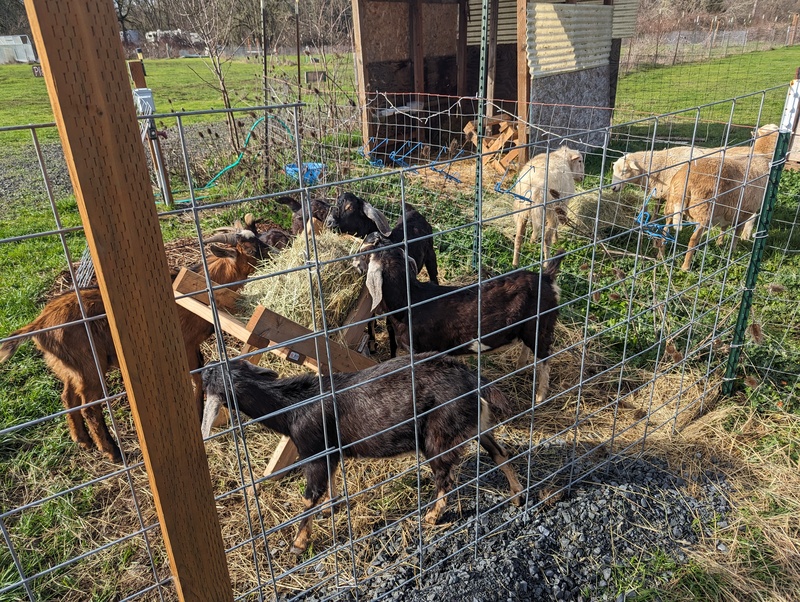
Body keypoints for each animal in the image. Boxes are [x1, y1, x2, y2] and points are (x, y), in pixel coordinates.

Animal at [0, 230, 262, 460]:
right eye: (250, 250)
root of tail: (40, 323)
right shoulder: (185, 343)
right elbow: (195, 377)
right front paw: (198, 416)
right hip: (90, 366)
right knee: (90, 407)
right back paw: (112, 452)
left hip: (69, 368)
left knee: (68, 397)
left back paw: (83, 441)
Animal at [200, 352, 524, 552]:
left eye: (212, 375)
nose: (203, 368)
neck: (293, 408)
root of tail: (473, 380)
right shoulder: (331, 454)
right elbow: (327, 487)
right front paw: (330, 509)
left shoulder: (315, 450)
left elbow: (310, 496)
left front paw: (298, 544)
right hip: (475, 425)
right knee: (499, 453)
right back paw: (517, 495)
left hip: (439, 435)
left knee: (446, 477)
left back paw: (430, 517)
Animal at [356, 234, 564, 404]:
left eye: (365, 253)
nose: (355, 262)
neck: (409, 300)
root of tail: (547, 278)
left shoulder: (418, 350)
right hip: (530, 326)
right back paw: (519, 368)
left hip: (542, 325)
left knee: (545, 356)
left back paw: (539, 397)